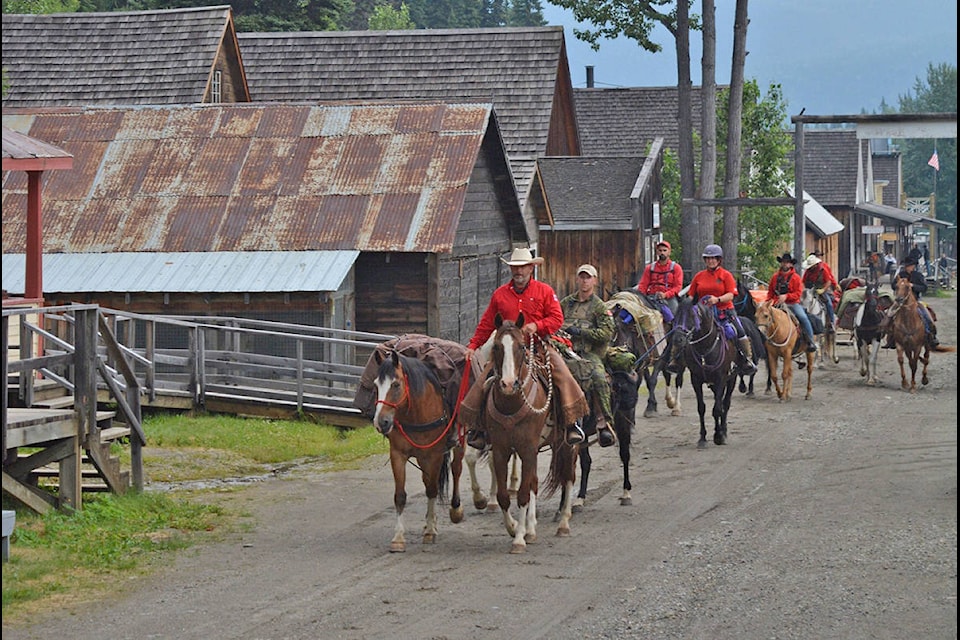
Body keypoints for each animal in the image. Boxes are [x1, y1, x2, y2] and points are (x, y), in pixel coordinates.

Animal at [372, 348, 464, 552]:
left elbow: (432, 490)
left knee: (456, 469)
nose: (381, 422)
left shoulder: (434, 455)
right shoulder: (397, 455)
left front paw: (429, 531)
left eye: (396, 384)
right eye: (376, 386)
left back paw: (456, 509)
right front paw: (398, 538)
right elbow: (400, 496)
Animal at [480, 312, 576, 552]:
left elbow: (523, 494)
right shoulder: (502, 450)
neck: (511, 404)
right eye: (497, 347)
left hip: (568, 444)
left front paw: (519, 539)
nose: (507, 384)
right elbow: (505, 495)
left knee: (569, 477)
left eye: (522, 346)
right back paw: (532, 528)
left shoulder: (527, 448)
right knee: (533, 481)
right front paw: (515, 527)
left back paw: (563, 523)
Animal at [672, 298, 740, 448]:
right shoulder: (696, 380)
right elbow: (701, 408)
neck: (705, 348)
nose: (678, 339)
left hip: (731, 379)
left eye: (692, 315)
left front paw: (718, 436)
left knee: (725, 403)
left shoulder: (721, 379)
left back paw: (724, 431)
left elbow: (717, 409)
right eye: (675, 316)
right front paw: (702, 438)